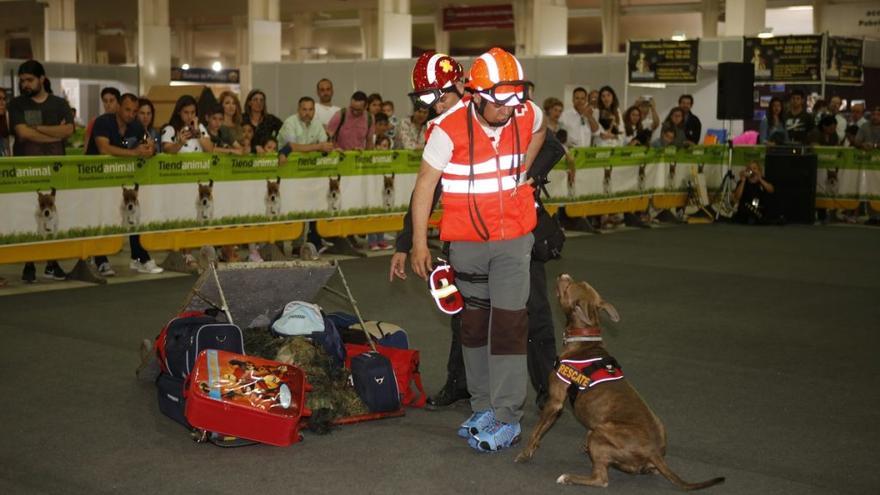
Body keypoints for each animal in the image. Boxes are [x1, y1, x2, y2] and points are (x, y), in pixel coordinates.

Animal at [516, 276, 720, 492]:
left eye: (568, 287)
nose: (564, 275)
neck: (585, 340)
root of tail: (654, 452)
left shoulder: (554, 402)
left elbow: (536, 431)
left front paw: (526, 453)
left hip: (601, 432)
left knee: (601, 479)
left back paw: (569, 477)